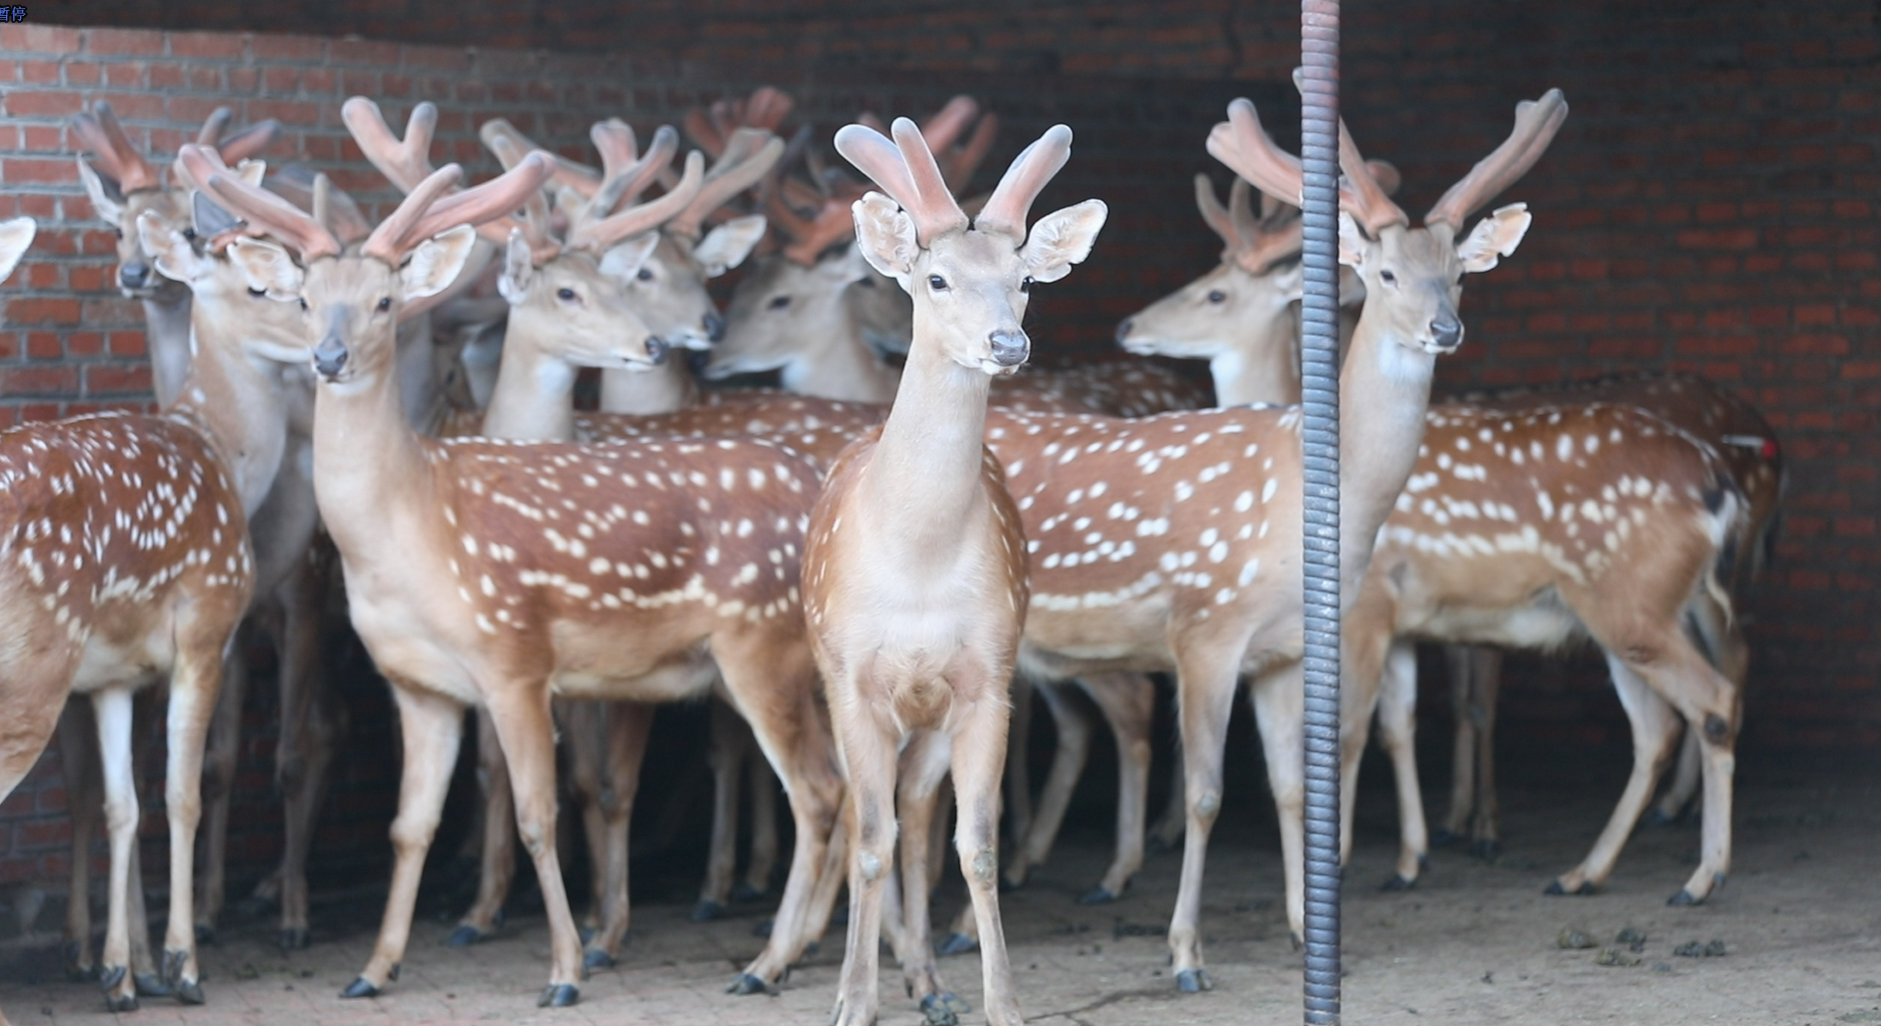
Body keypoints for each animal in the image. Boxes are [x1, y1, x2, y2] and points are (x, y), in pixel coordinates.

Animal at [198, 145, 846, 1009]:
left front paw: (566, 971)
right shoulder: (417, 684)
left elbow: (542, 813)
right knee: (857, 782)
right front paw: (373, 969)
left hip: (759, 649)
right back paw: (808, 949)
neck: (411, 525)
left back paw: (766, 962)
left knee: (817, 791)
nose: (328, 360)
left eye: (384, 302)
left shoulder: (514, 660)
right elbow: (409, 826)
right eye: (304, 299)